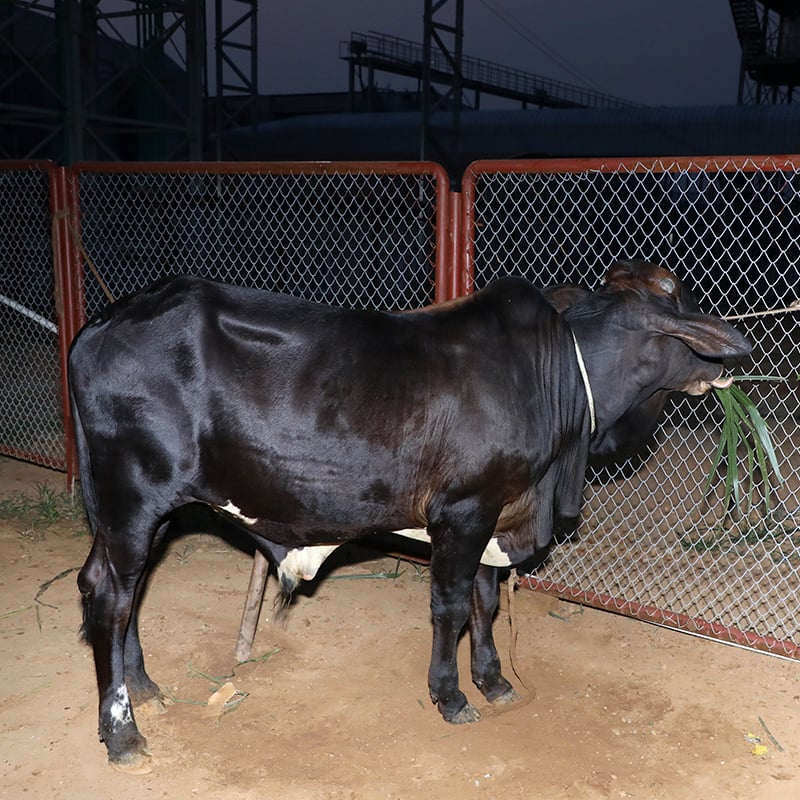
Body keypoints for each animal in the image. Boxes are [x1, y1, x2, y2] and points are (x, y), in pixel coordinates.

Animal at [68, 259, 751, 773]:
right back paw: (122, 732)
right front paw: (451, 695)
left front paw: (494, 681)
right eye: (678, 298)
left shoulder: (494, 512)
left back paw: (144, 686)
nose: (730, 363)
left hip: (149, 511)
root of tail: (100, 323)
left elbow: (485, 601)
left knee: (125, 590)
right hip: (133, 497)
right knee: (110, 595)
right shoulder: (464, 511)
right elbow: (450, 607)